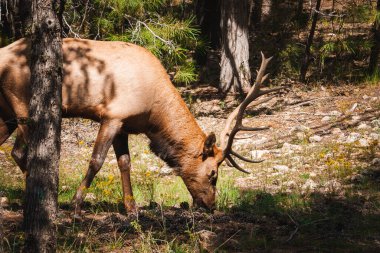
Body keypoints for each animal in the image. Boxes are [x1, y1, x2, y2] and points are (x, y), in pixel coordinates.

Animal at [0, 38, 282, 214]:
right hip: (23, 106)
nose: (211, 205)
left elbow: (125, 163)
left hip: (7, 114)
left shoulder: (124, 125)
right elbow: (96, 161)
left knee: (11, 149)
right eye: (212, 173)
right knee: (21, 152)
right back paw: (45, 199)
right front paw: (77, 205)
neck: (152, 113)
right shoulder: (112, 115)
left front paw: (132, 208)